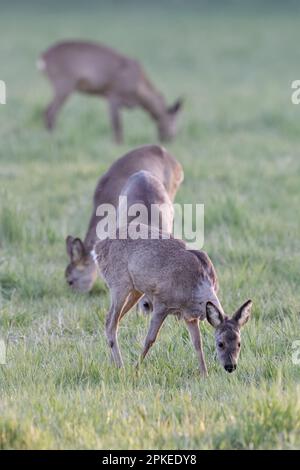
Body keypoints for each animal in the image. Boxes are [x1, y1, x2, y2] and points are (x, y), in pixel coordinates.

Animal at [37, 40, 183, 143]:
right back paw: (53, 137)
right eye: (173, 119)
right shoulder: (113, 94)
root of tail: (43, 57)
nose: (170, 139)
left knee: (47, 110)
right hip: (64, 84)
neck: (139, 90)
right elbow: (117, 124)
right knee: (50, 111)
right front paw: (118, 144)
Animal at [92, 226, 252, 376]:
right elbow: (150, 339)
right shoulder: (161, 303)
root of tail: (98, 248)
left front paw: (204, 374)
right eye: (220, 343)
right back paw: (121, 367)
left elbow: (197, 343)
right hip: (119, 283)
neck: (195, 287)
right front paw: (136, 369)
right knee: (111, 322)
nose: (230, 366)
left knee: (112, 321)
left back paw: (114, 364)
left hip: (135, 290)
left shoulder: (189, 316)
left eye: (239, 343)